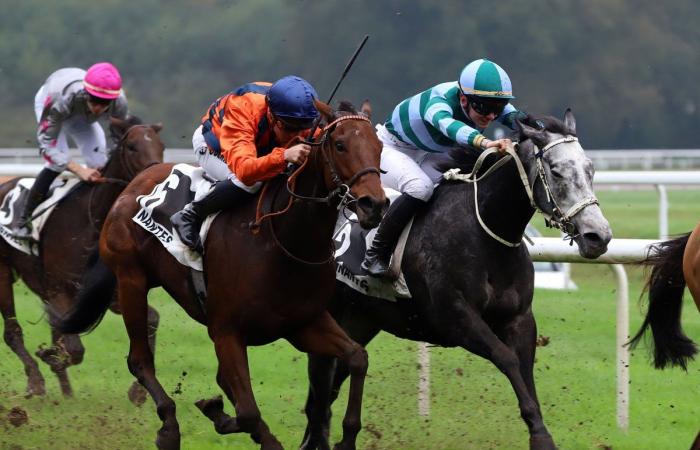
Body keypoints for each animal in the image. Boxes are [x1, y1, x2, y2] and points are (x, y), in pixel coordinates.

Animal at [0, 118, 163, 400]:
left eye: (161, 146)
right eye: (132, 146)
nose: (155, 180)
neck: (92, 223)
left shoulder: (108, 292)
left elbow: (151, 320)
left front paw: (138, 391)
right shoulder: (59, 289)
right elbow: (74, 348)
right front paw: (50, 358)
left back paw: (66, 393)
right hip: (3, 273)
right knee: (12, 332)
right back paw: (36, 380)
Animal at [54, 101, 388, 450]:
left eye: (379, 147)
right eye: (340, 145)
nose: (374, 205)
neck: (283, 242)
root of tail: (133, 184)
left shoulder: (305, 322)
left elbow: (357, 357)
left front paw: (347, 437)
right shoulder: (227, 332)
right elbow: (249, 412)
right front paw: (223, 416)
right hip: (131, 279)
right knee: (139, 360)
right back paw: (169, 426)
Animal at [300, 110, 612, 450]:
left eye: (590, 169)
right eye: (555, 171)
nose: (598, 236)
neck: (485, 230)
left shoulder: (519, 318)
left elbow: (525, 369)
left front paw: (539, 431)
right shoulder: (456, 318)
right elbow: (507, 359)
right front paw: (540, 435)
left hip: (362, 319)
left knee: (335, 377)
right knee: (320, 379)